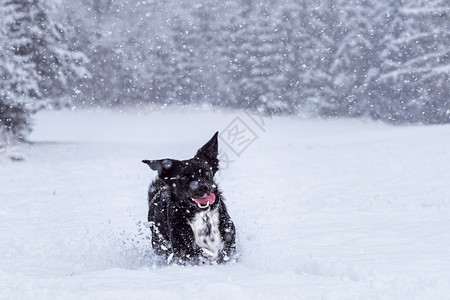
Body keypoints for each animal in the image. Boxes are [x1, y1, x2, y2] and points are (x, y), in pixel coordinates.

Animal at [143, 132, 236, 264]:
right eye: (183, 177)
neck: (204, 219)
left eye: (206, 172)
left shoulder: (228, 246)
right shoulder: (185, 254)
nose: (203, 188)